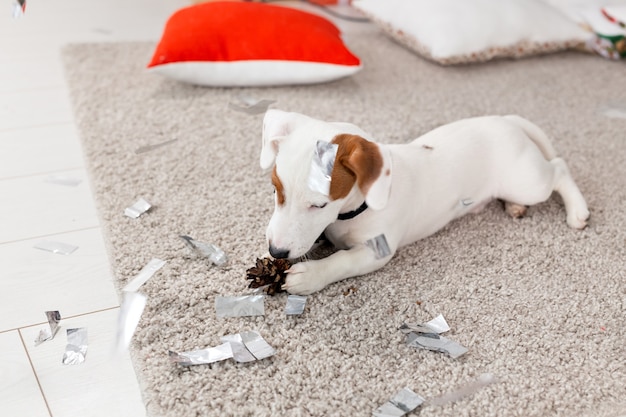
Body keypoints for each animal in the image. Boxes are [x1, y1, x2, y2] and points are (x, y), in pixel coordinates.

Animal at [260, 109, 588, 294]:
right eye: (276, 190)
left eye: (319, 205)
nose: (276, 251)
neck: (352, 212)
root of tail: (506, 121)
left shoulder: (377, 251)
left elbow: (342, 261)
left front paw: (311, 275)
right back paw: (514, 207)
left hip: (527, 181)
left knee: (559, 169)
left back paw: (577, 211)